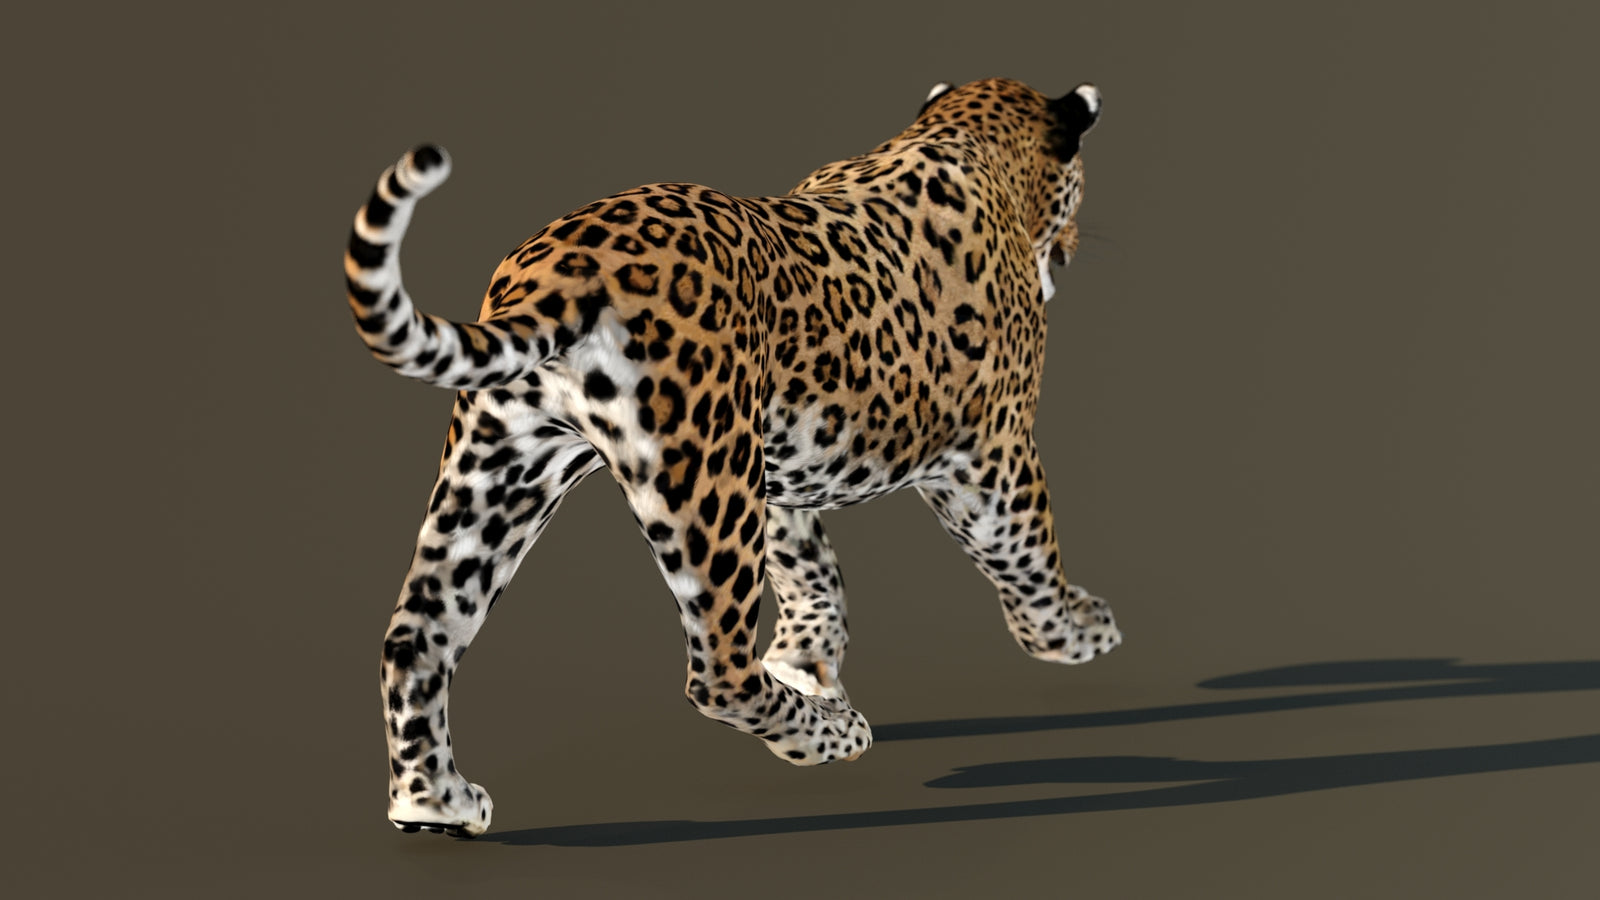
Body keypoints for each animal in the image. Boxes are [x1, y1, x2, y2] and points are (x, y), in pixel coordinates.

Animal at [343, 77, 1119, 838]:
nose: (1078, 243)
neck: (966, 137)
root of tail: (561, 267)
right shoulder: (990, 456)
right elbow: (1028, 556)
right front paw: (1077, 632)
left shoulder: (781, 466)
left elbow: (811, 571)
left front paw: (805, 658)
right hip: (706, 475)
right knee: (719, 670)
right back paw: (836, 734)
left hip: (504, 467)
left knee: (416, 636)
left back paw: (436, 804)